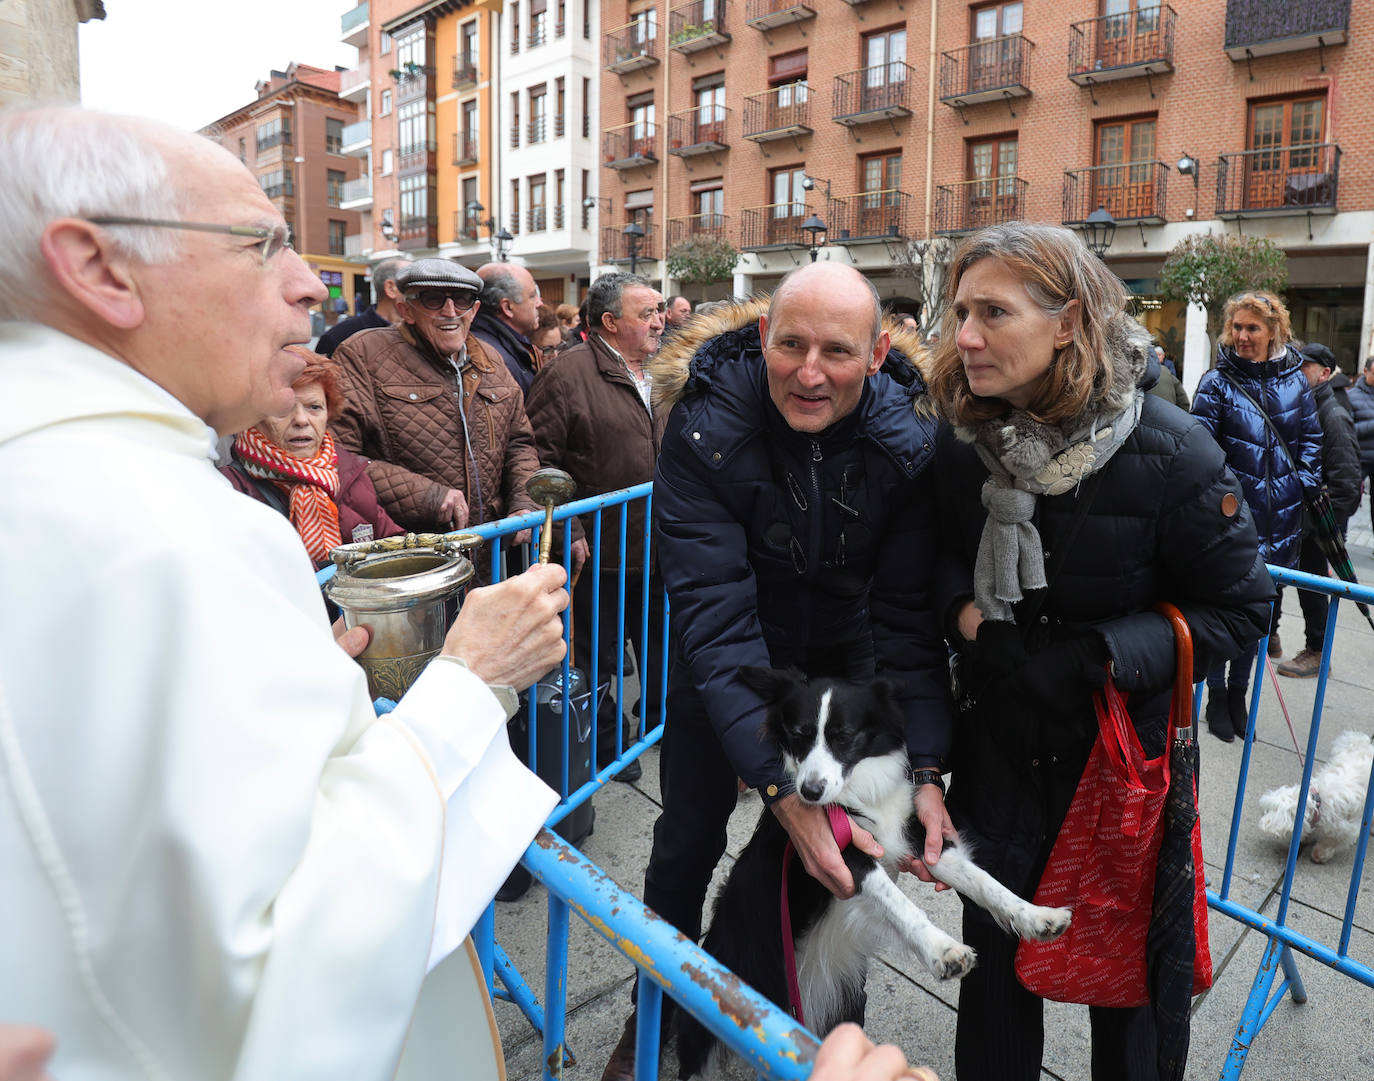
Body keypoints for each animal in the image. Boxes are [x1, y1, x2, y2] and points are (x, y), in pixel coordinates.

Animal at [676, 673, 1071, 1076]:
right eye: (799, 735)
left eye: (844, 737)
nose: (809, 792)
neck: (859, 791)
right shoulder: (844, 855)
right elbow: (901, 905)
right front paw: (943, 950)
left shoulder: (917, 837)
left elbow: (984, 881)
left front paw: (1037, 915)